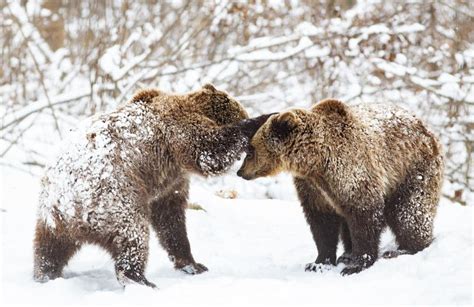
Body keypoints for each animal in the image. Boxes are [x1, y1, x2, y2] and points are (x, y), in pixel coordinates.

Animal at [34, 85, 270, 288]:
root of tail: (64, 202)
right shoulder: (176, 129)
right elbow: (208, 151)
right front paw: (260, 119)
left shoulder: (169, 182)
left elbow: (170, 219)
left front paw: (193, 264)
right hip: (113, 196)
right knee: (133, 235)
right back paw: (139, 279)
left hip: (52, 221)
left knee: (49, 249)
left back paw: (45, 274)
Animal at [237, 99, 444, 276]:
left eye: (251, 149)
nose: (240, 171)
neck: (315, 162)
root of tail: (427, 129)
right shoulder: (313, 188)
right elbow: (322, 223)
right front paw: (318, 263)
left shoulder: (352, 173)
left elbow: (364, 216)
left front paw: (357, 264)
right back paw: (347, 254)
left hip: (412, 170)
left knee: (408, 212)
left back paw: (404, 249)